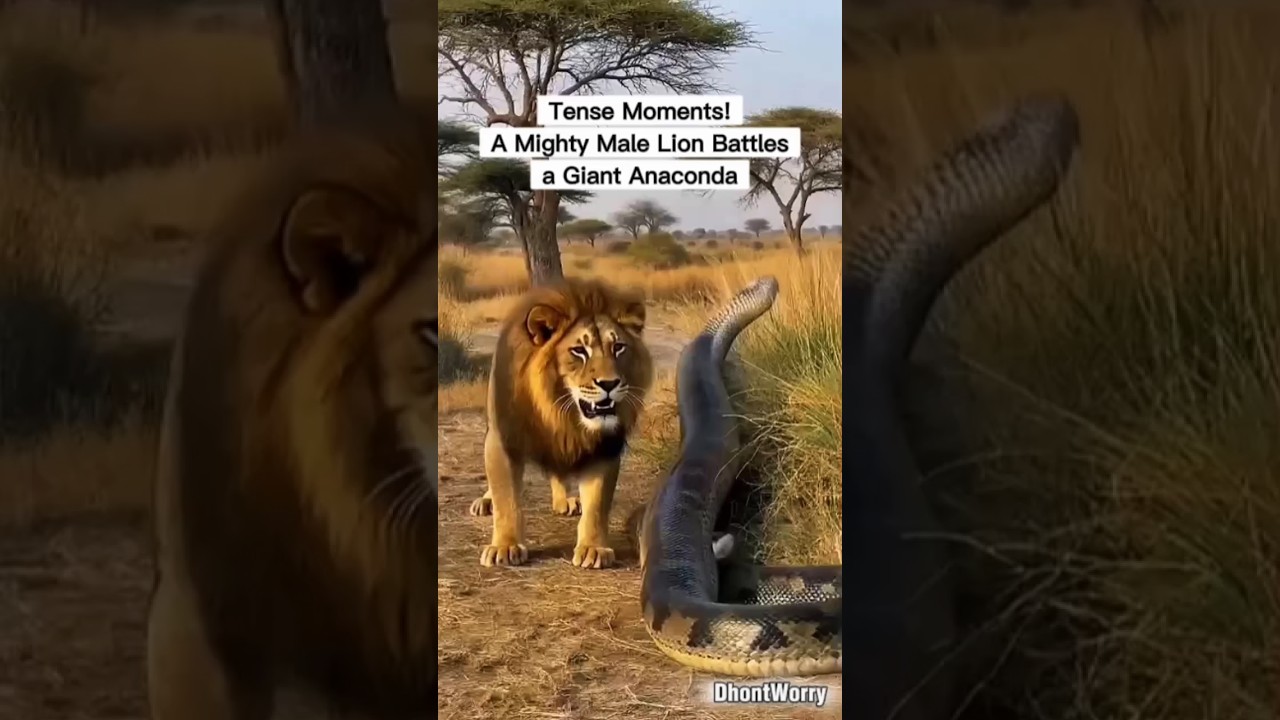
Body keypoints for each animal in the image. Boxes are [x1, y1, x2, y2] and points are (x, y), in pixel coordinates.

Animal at [468, 278, 653, 570]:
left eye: (618, 348)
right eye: (579, 351)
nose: (610, 384)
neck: (558, 411)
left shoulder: (605, 447)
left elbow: (597, 502)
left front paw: (593, 548)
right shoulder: (503, 438)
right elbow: (506, 497)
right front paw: (505, 546)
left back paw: (565, 500)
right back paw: (485, 502)